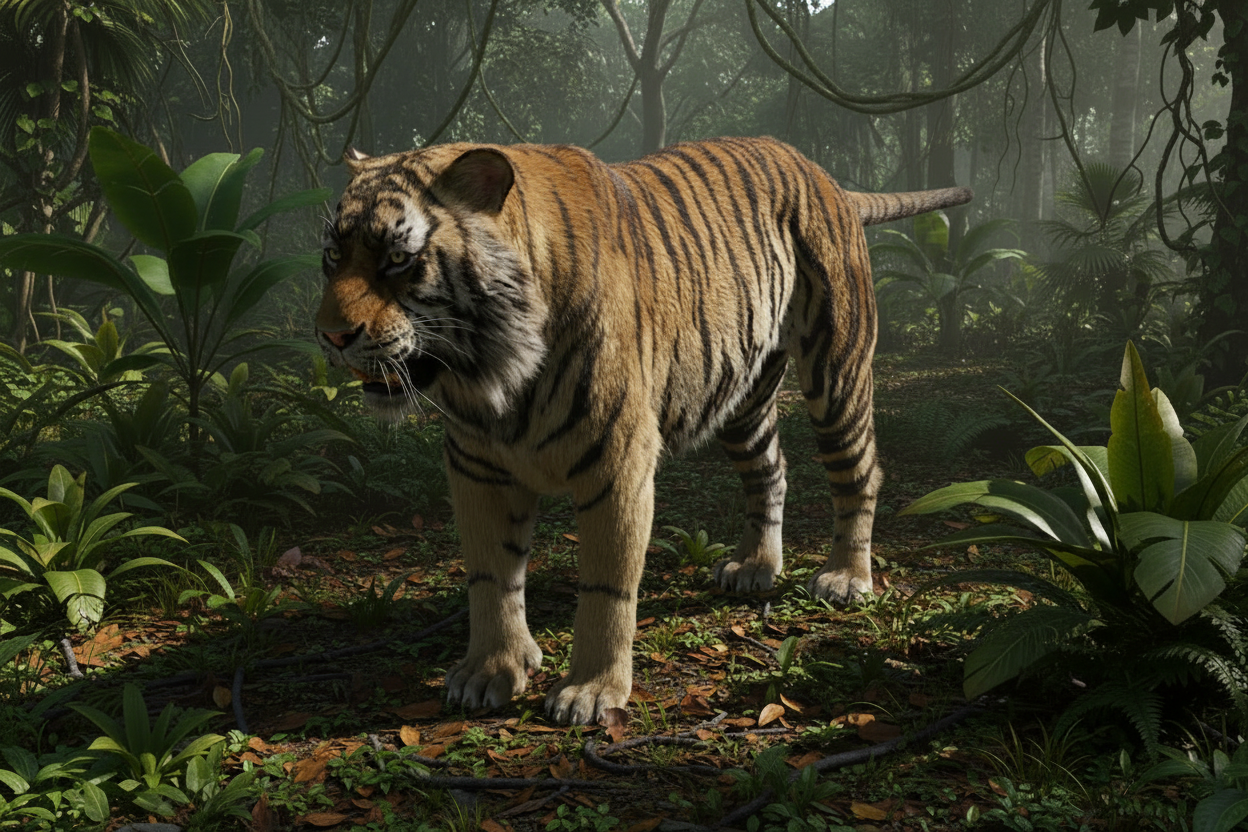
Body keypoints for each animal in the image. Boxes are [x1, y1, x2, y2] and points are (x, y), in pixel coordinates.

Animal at [315, 136, 972, 725]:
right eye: (332, 256)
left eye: (398, 258)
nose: (331, 336)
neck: (492, 371)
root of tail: (823, 174)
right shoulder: (478, 467)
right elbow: (490, 577)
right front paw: (490, 671)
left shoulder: (616, 464)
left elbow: (606, 590)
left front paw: (590, 691)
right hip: (739, 395)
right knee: (771, 472)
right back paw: (755, 565)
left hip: (837, 373)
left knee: (859, 472)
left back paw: (847, 577)